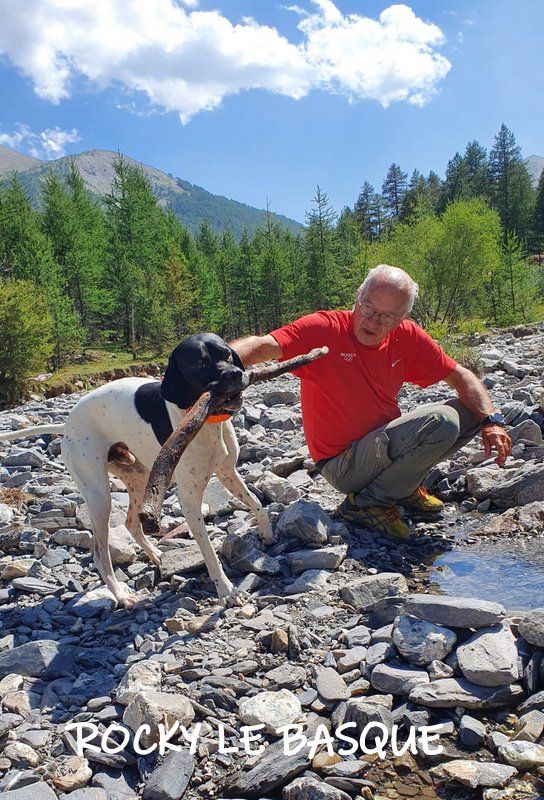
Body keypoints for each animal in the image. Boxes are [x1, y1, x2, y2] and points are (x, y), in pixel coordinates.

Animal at [0, 336, 272, 608]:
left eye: (227, 354)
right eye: (200, 363)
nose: (236, 374)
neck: (208, 422)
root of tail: (66, 425)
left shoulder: (228, 473)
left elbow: (256, 502)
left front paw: (266, 533)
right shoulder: (189, 499)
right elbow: (208, 551)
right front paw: (226, 590)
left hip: (141, 479)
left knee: (131, 523)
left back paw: (157, 555)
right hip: (100, 497)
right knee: (100, 553)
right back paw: (121, 595)